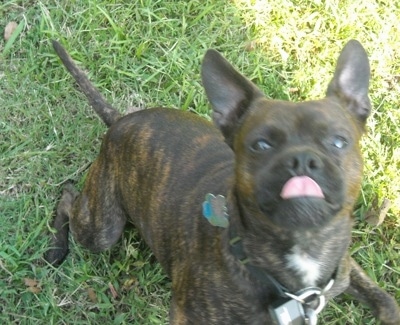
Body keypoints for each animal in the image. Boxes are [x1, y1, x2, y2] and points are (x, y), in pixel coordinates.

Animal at [45, 40, 398, 324]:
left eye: (338, 142)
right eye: (260, 145)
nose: (301, 160)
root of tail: (120, 120)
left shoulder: (344, 269)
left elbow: (387, 301)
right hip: (102, 228)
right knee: (68, 198)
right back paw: (55, 248)